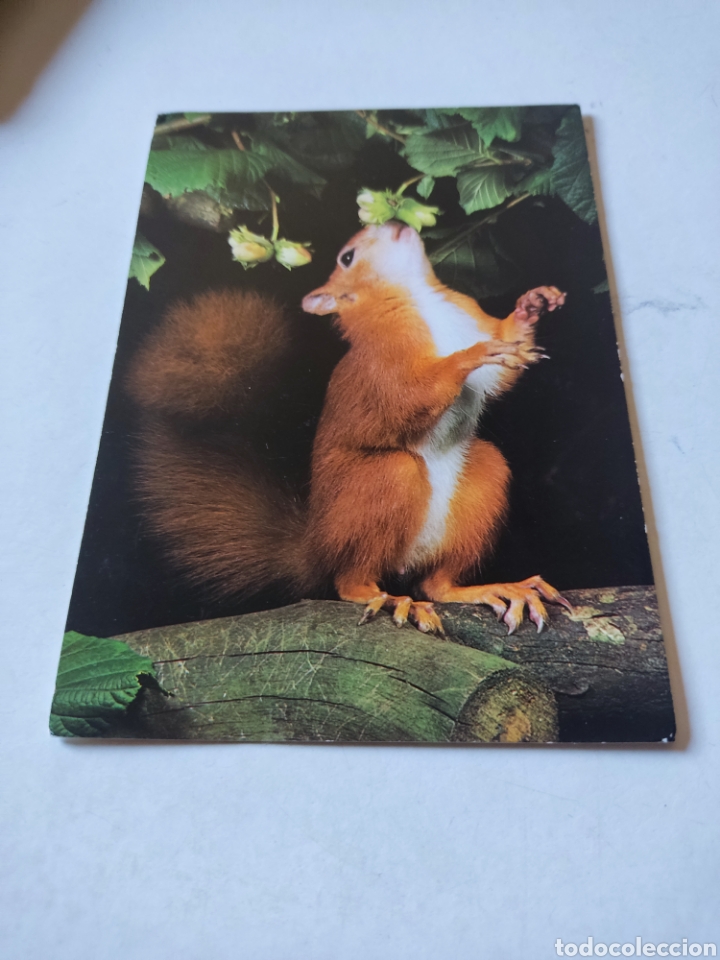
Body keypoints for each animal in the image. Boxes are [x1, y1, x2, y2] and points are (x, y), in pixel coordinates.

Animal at [127, 219, 571, 636]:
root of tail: (316, 547)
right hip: (378, 485)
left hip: (482, 479)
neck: (420, 297)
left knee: (436, 584)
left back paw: (494, 589)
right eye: (347, 257)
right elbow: (408, 398)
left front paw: (533, 303)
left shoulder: (471, 320)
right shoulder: (383, 362)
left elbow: (502, 371)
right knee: (350, 580)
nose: (395, 221)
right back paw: (391, 599)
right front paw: (470, 355)